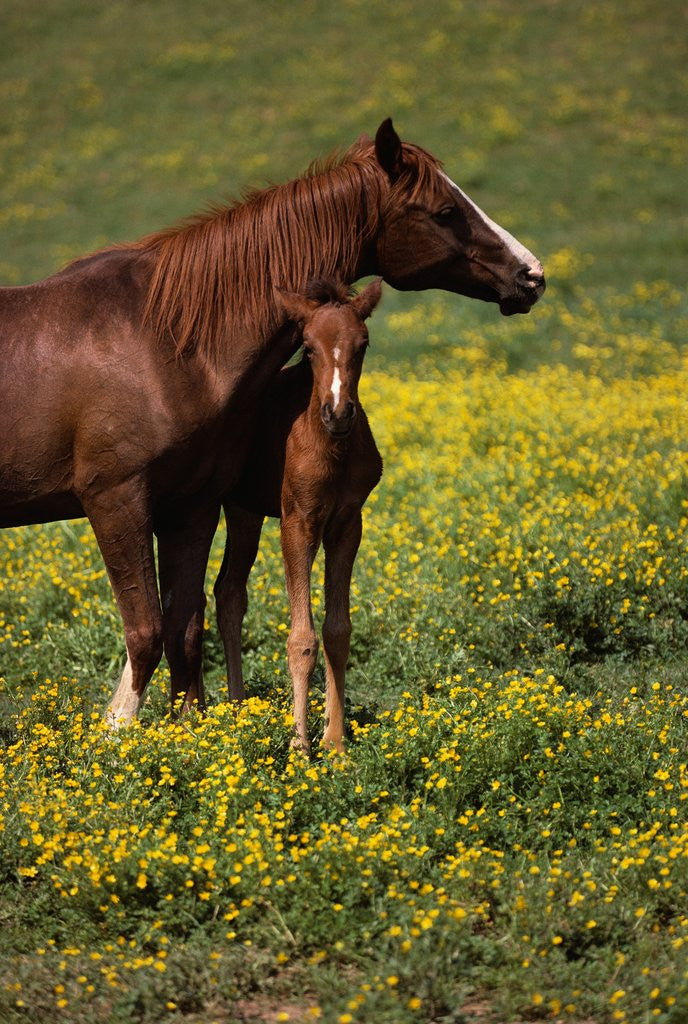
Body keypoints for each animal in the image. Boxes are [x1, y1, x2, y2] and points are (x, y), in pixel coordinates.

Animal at [219, 277, 383, 753]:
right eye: (307, 347)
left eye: (363, 343)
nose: (339, 413)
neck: (331, 449)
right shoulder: (297, 522)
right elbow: (301, 639)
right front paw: (299, 744)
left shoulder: (347, 524)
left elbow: (337, 631)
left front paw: (335, 742)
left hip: (246, 511)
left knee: (228, 593)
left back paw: (238, 706)